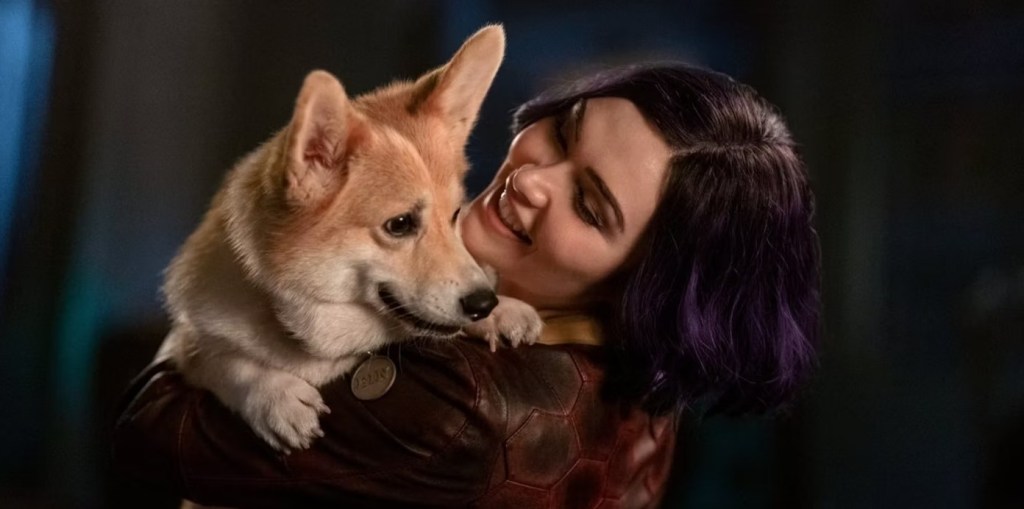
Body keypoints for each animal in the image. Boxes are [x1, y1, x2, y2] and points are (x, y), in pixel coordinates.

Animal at [156, 25, 540, 453]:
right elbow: (224, 360)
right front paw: (276, 398)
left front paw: (504, 313)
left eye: (455, 215)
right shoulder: (183, 345)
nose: (484, 304)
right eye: (400, 224)